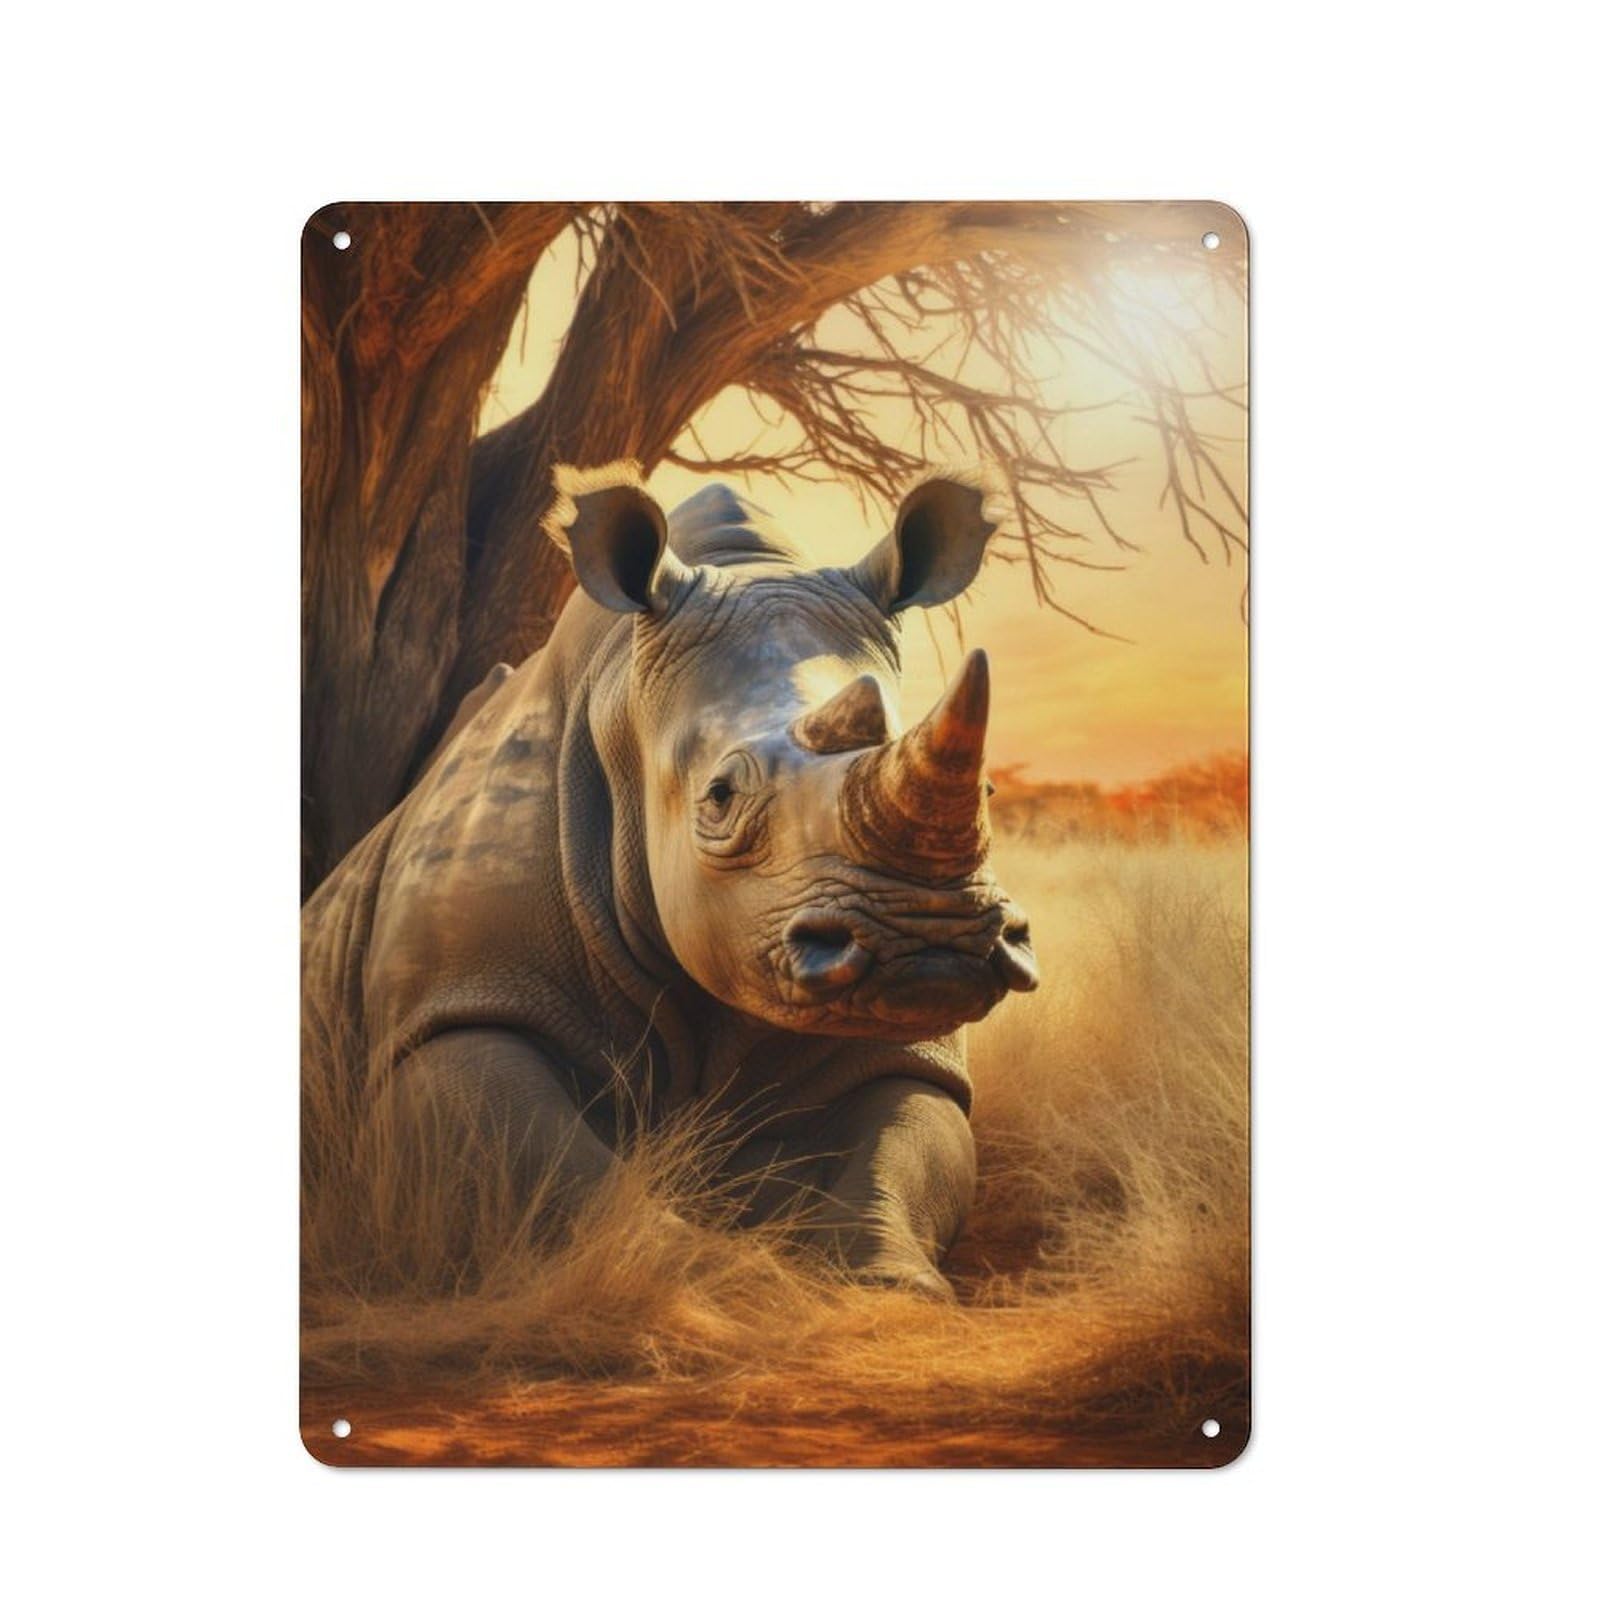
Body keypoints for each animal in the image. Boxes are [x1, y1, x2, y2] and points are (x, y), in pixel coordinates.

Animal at [301, 465, 1039, 1297]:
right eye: (719, 797)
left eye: (988, 792)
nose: (927, 941)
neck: (621, 705)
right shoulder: (456, 1001)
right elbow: (551, 1164)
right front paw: (711, 1281)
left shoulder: (904, 1044)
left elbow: (905, 1145)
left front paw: (888, 1288)